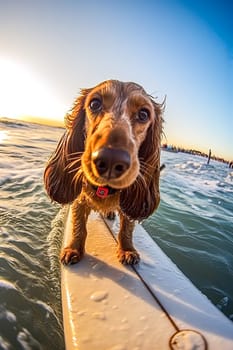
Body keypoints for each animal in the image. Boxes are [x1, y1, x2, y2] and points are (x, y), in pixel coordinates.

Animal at [43, 80, 164, 266]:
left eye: (144, 114)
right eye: (94, 104)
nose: (111, 160)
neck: (104, 189)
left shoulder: (128, 209)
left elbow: (126, 229)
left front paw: (127, 250)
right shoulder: (80, 200)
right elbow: (79, 226)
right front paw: (73, 249)